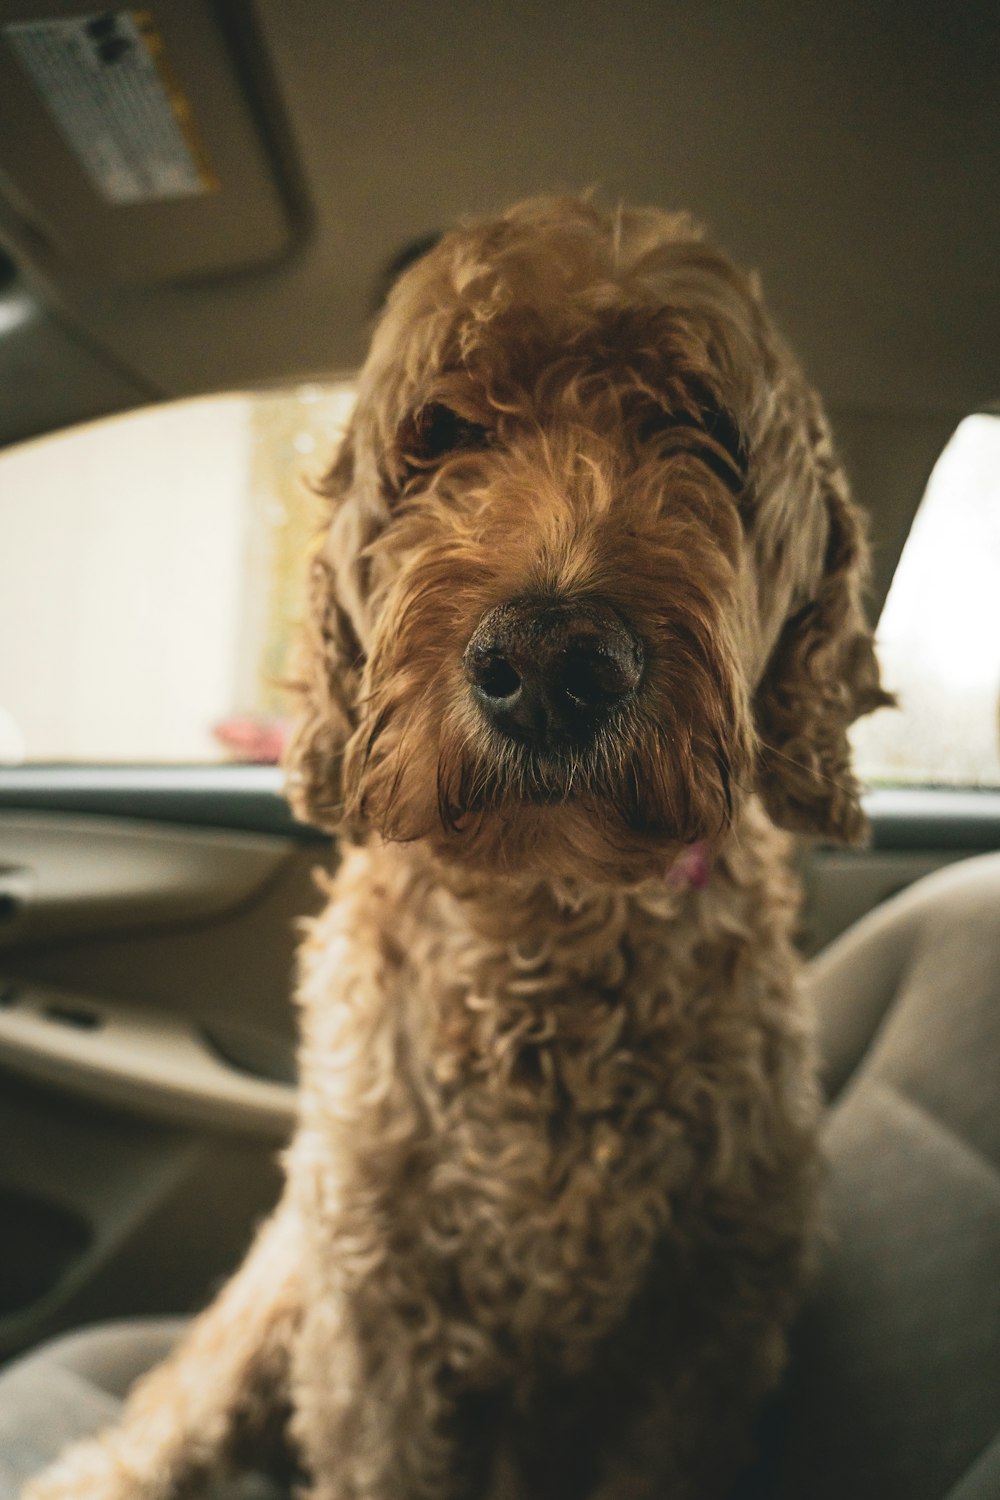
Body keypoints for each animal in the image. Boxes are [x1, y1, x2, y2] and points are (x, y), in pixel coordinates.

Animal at [27, 196, 893, 1500]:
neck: (547, 917)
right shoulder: (374, 1317)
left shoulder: (701, 1339)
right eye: (440, 433)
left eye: (702, 430)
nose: (549, 662)